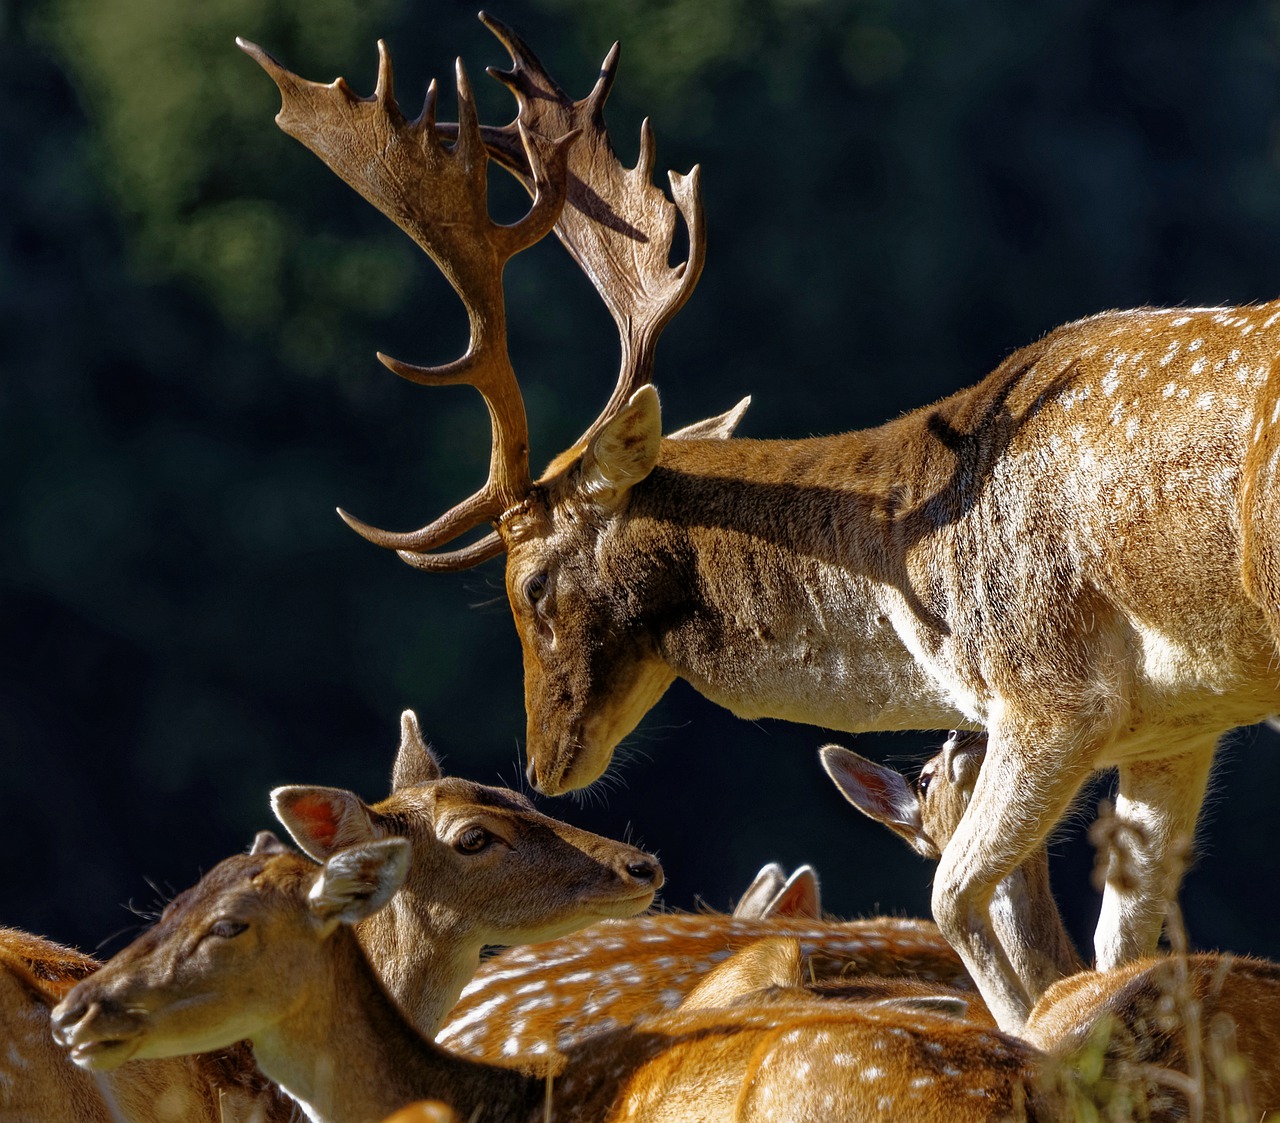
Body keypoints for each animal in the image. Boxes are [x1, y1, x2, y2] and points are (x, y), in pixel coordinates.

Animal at [239, 14, 1280, 1032]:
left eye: (525, 583)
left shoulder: (1052, 691)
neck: (924, 594)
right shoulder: (1174, 726)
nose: (541, 759)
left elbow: (953, 900)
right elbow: (1122, 946)